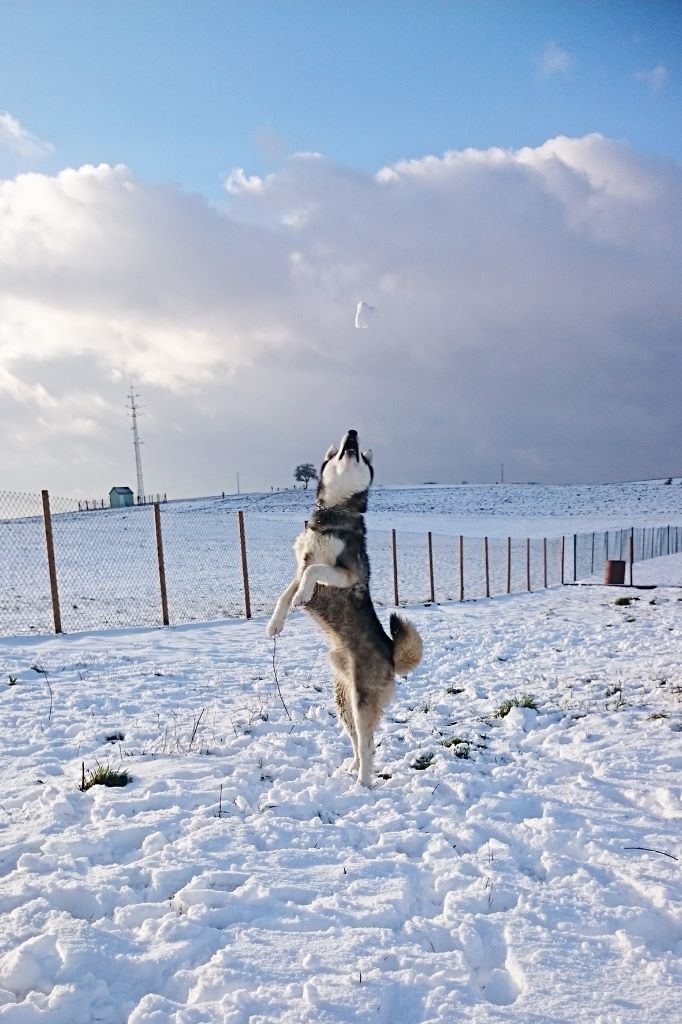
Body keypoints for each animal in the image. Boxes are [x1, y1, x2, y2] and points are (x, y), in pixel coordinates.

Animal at [266, 428, 419, 786]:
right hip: (343, 702)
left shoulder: (346, 572)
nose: (352, 433)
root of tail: (392, 655)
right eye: (345, 449)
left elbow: (313, 571)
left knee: (367, 745)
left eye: (359, 454)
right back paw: (350, 769)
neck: (333, 513)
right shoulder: (298, 567)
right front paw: (276, 623)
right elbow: (286, 591)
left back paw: (362, 782)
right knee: (358, 742)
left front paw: (302, 597)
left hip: (362, 702)